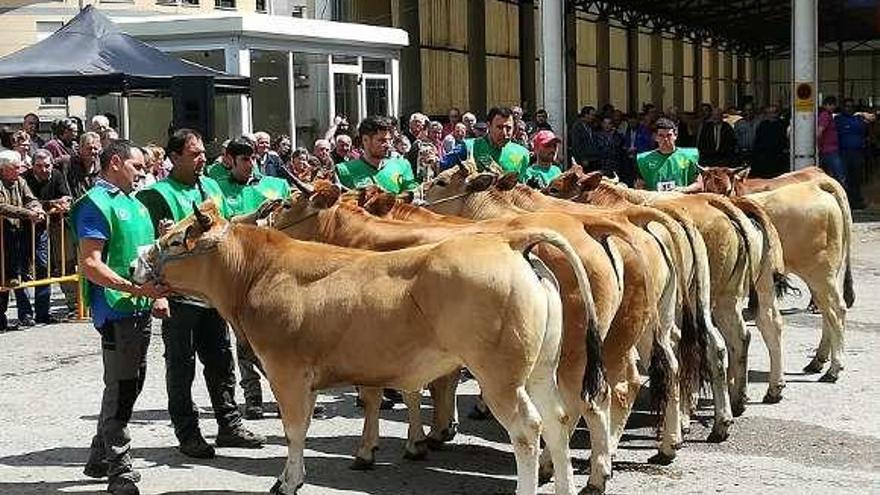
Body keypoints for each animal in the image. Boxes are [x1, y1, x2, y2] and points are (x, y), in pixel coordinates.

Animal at [138, 199, 600, 495]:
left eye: (176, 240)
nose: (137, 261)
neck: (259, 272)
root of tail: (509, 242)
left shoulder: (287, 371)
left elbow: (294, 430)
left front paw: (288, 481)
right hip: (540, 369)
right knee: (558, 419)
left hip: (500, 377)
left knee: (528, 430)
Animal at [268, 179, 620, 492]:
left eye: (286, 204)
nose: (265, 220)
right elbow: (424, 386)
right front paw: (431, 434)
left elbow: (377, 395)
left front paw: (373, 449)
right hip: (558, 359)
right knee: (576, 407)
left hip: (553, 360)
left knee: (574, 408)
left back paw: (583, 473)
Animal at [696, 167, 852, 384]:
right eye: (706, 185)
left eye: (727, 189)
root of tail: (816, 185)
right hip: (821, 277)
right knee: (826, 312)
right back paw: (818, 361)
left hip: (821, 274)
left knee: (837, 310)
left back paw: (834, 368)